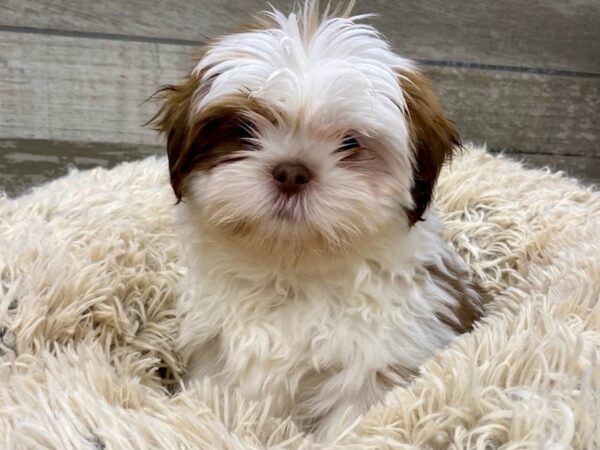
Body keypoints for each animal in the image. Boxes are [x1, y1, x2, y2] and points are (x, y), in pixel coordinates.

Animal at [152, 0, 486, 440]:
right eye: (242, 129)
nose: (292, 172)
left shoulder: (377, 364)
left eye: (350, 143)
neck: (292, 272)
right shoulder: (213, 355)